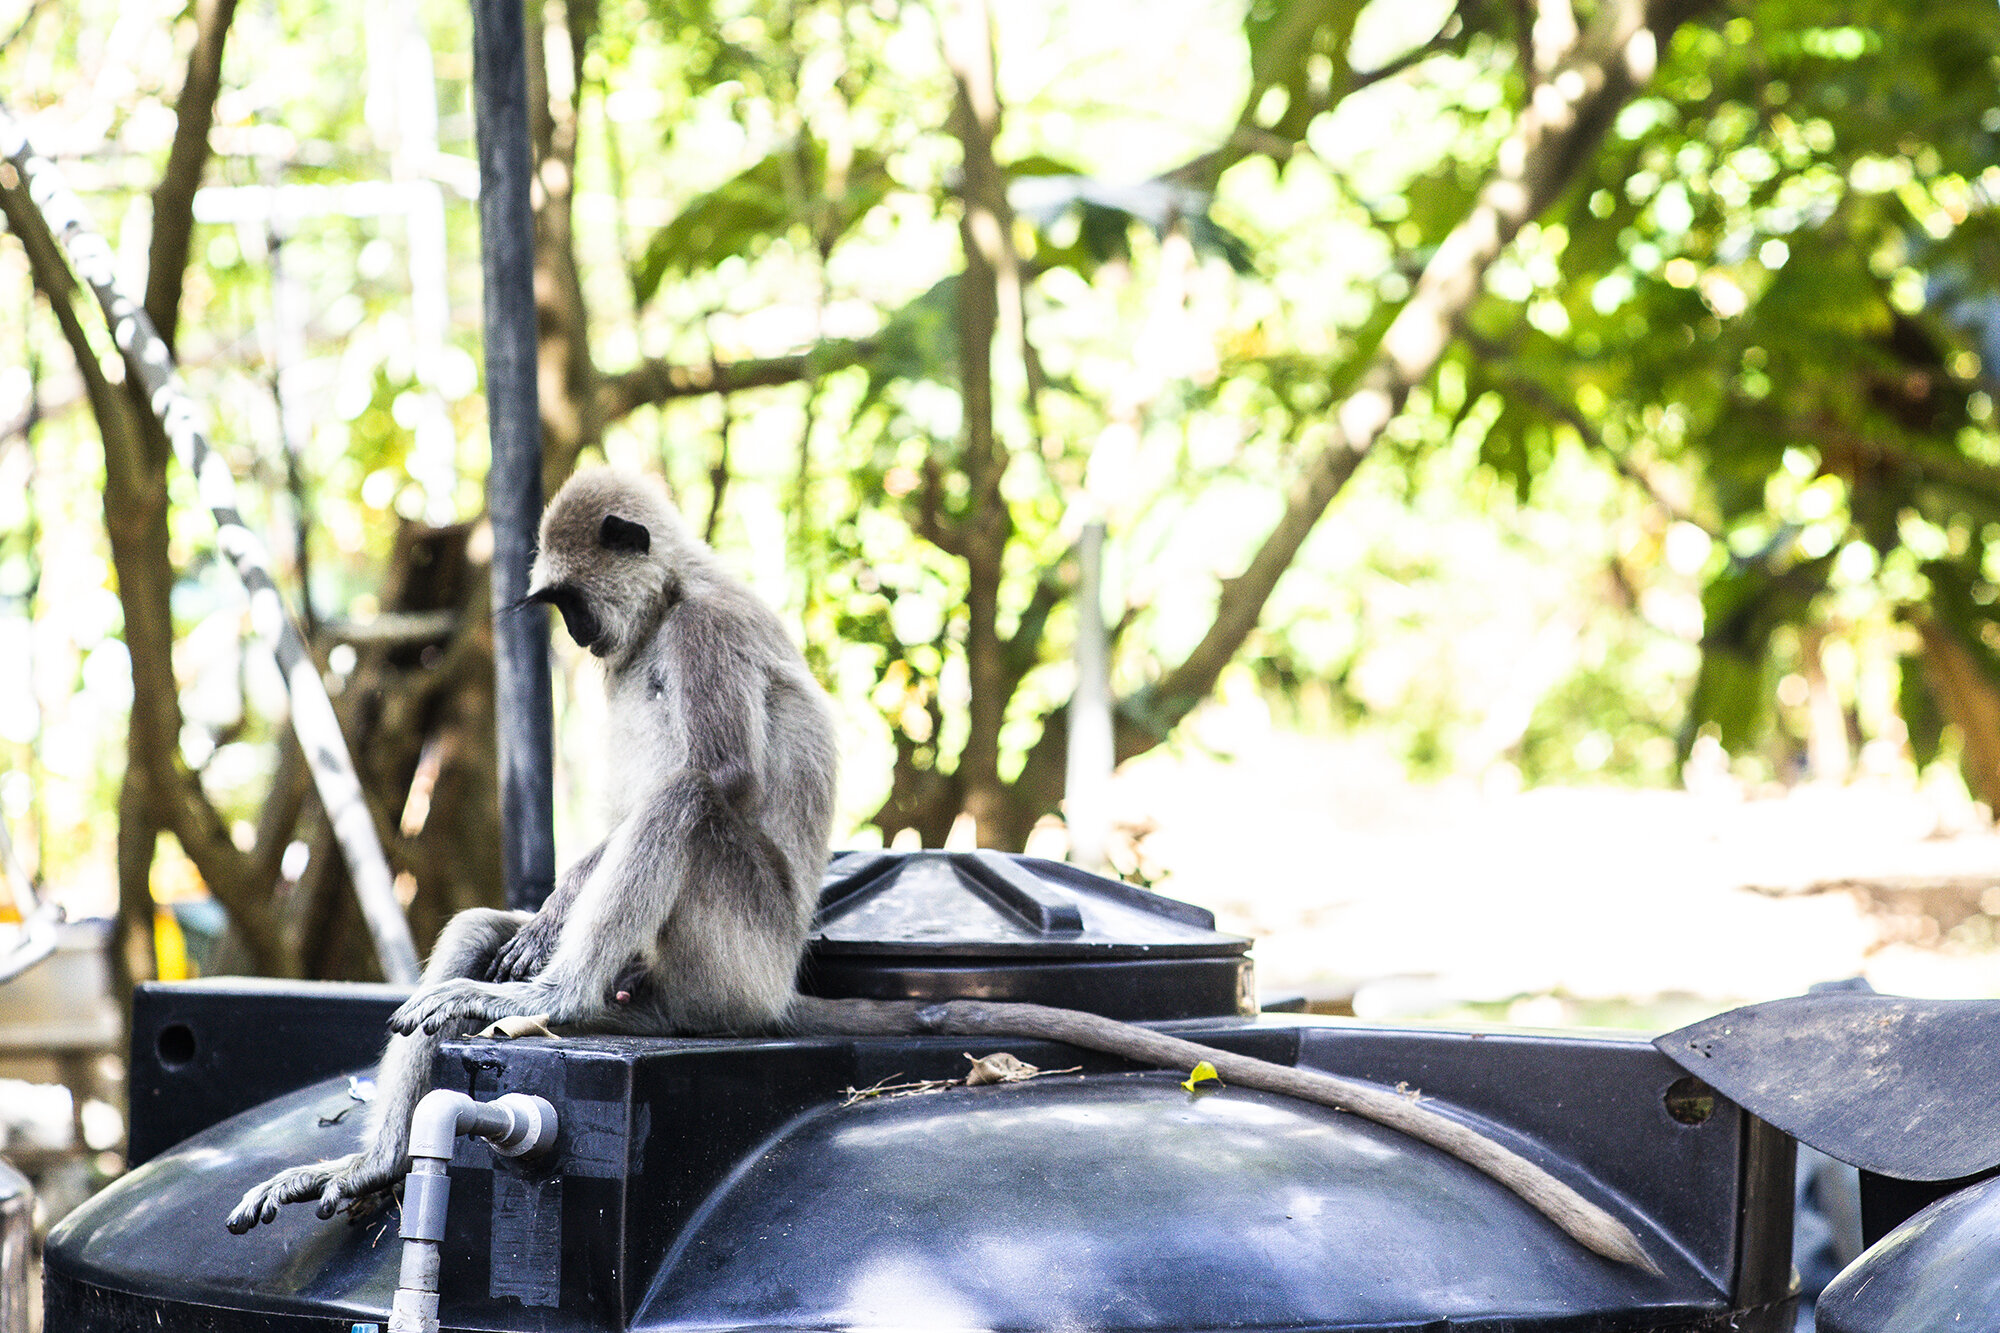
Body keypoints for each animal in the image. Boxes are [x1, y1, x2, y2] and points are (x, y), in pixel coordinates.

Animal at [223, 464, 1656, 1264]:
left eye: (568, 601)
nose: (576, 642)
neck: (670, 605)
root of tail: (765, 994)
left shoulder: (709, 630)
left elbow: (696, 788)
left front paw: (546, 989)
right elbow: (596, 835)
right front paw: (518, 949)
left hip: (714, 961)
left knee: (690, 828)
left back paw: (556, 1000)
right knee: (475, 924)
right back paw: (391, 1130)